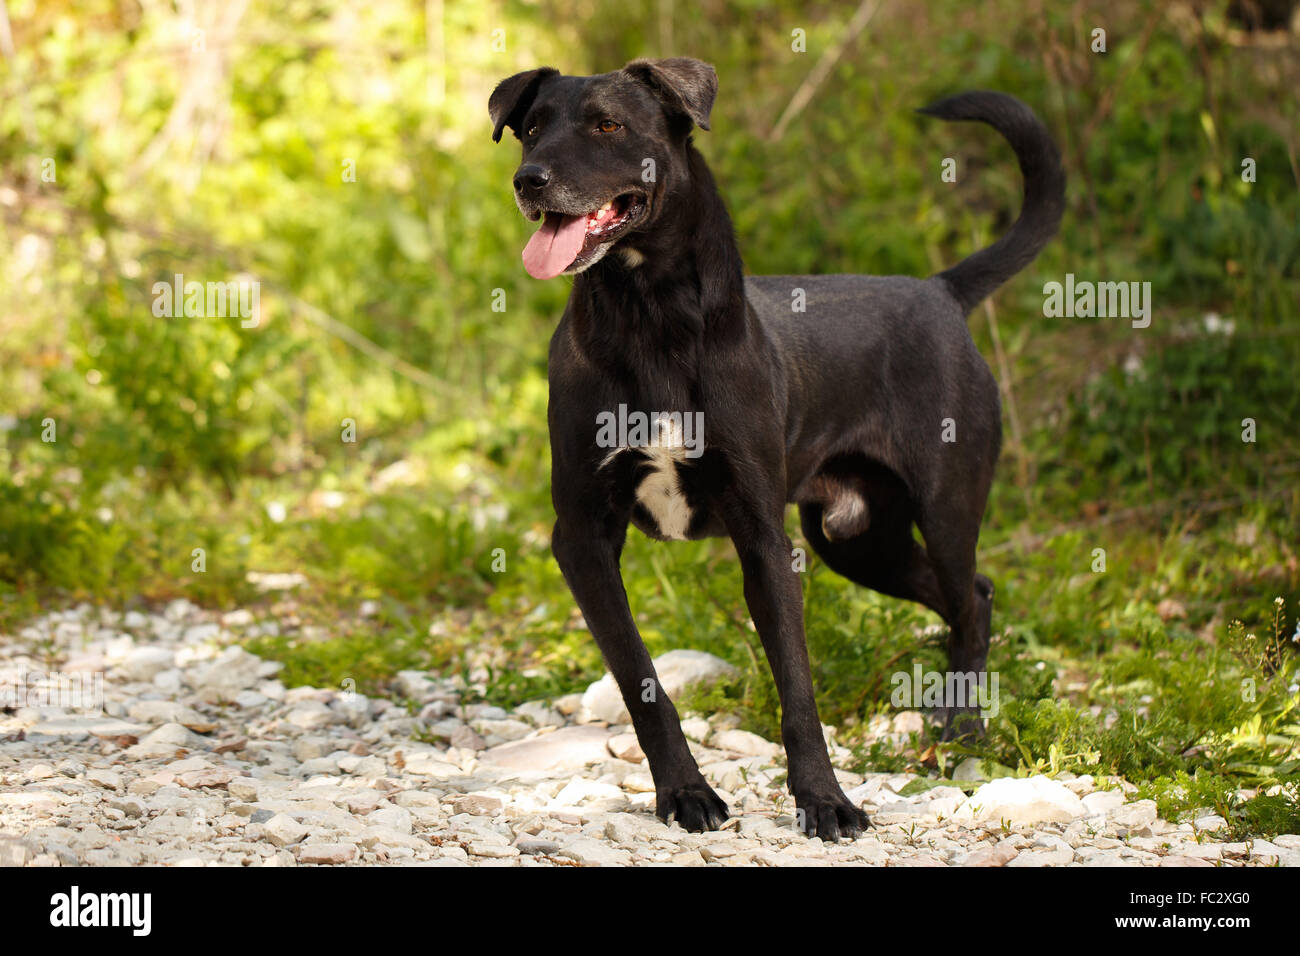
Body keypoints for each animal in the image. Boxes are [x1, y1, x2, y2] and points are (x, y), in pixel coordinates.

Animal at [491, 59, 1060, 837]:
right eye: (530, 128)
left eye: (608, 124)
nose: (530, 180)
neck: (651, 319)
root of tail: (939, 292)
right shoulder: (582, 537)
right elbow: (641, 679)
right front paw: (686, 794)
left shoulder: (763, 536)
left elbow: (797, 683)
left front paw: (825, 800)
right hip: (858, 541)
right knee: (969, 593)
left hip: (943, 508)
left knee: (970, 599)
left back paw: (962, 733)